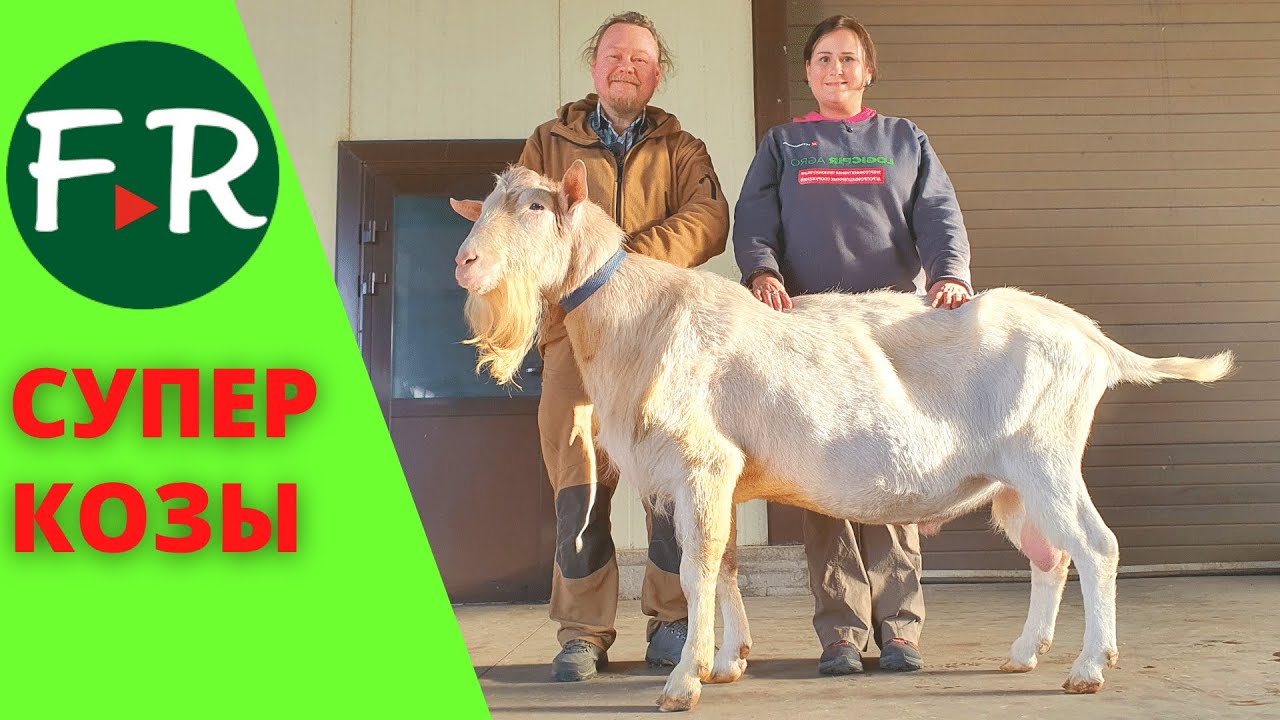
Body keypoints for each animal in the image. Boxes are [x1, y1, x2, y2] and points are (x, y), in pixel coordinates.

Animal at [451, 161, 1234, 712]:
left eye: (534, 207)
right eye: (483, 207)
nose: (465, 261)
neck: (639, 316)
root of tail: (1089, 337)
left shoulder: (703, 462)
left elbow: (699, 570)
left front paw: (683, 681)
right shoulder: (723, 477)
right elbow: (726, 566)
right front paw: (728, 662)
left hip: (1047, 455)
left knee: (1097, 548)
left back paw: (1088, 669)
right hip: (1016, 479)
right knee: (1051, 556)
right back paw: (1025, 652)